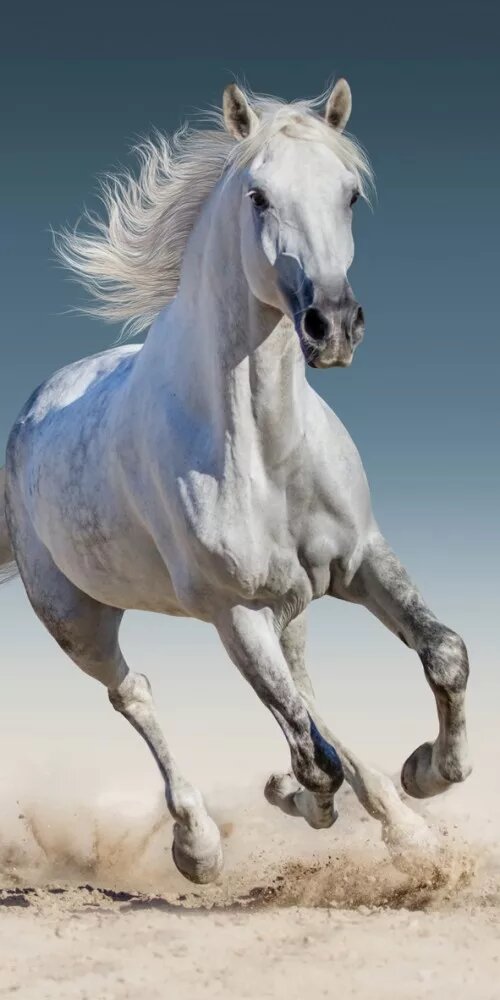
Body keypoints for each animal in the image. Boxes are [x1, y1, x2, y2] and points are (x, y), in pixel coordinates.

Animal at [0, 81, 471, 884]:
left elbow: (443, 654)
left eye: (349, 194)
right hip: (76, 619)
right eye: (259, 196)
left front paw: (428, 774)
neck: (265, 448)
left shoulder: (360, 560)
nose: (332, 325)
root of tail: (34, 411)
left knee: (305, 692)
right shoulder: (235, 611)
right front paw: (304, 797)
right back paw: (199, 846)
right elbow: (313, 755)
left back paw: (400, 823)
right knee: (136, 694)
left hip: (292, 604)